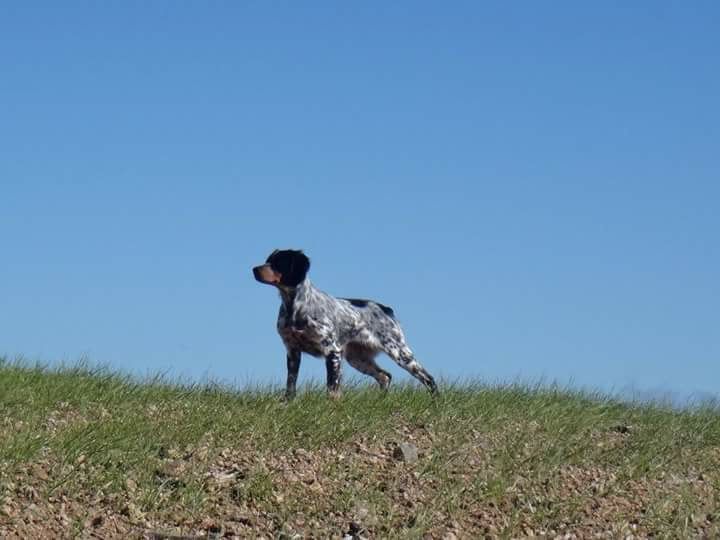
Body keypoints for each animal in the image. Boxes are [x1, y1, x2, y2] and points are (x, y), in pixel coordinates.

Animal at [252, 249, 438, 396]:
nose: (254, 269)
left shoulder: (332, 351)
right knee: (385, 376)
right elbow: (291, 385)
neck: (295, 307)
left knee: (428, 378)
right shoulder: (292, 351)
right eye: (268, 260)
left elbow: (332, 388)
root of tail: (386, 309)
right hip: (357, 358)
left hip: (399, 352)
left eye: (278, 263)